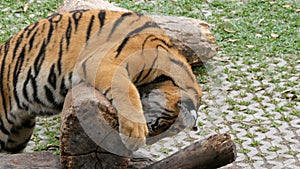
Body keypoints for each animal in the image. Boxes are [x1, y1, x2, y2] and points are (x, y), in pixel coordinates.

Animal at [0, 9, 202, 154]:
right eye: (163, 125)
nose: (150, 138)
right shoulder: (103, 62)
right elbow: (127, 90)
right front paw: (135, 135)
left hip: (20, 133)